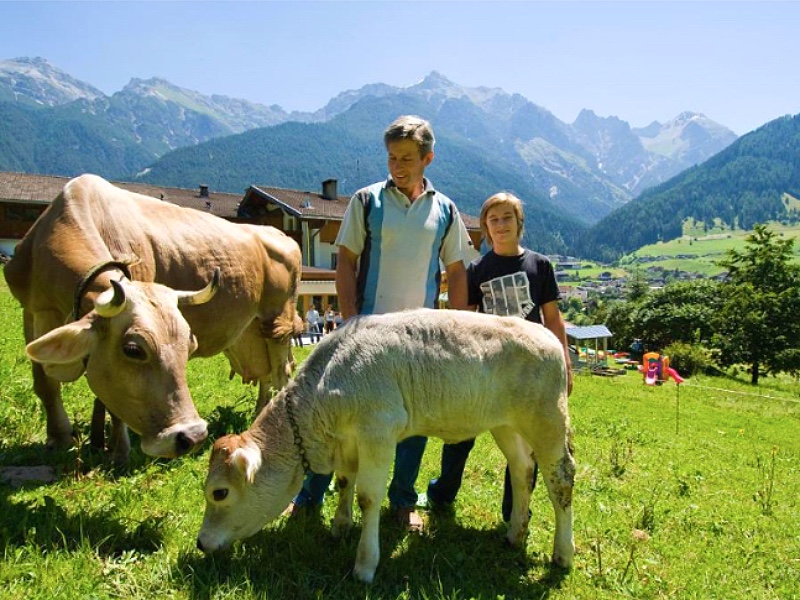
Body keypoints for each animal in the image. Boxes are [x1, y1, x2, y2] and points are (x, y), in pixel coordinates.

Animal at [3, 173, 304, 464]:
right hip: (251, 332)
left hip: (278, 321)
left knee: (281, 372)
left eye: (189, 346)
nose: (192, 437)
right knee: (266, 373)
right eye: (133, 349)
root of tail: (277, 232)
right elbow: (45, 383)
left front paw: (119, 451)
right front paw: (60, 438)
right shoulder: (32, 313)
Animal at [199, 310, 576, 580]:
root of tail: (546, 335)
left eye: (219, 492)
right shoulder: (348, 439)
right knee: (522, 470)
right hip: (505, 424)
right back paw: (515, 533)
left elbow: (368, 496)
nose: (201, 543)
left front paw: (365, 565)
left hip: (547, 420)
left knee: (560, 480)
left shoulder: (378, 431)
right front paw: (339, 526)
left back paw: (563, 554)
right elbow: (345, 480)